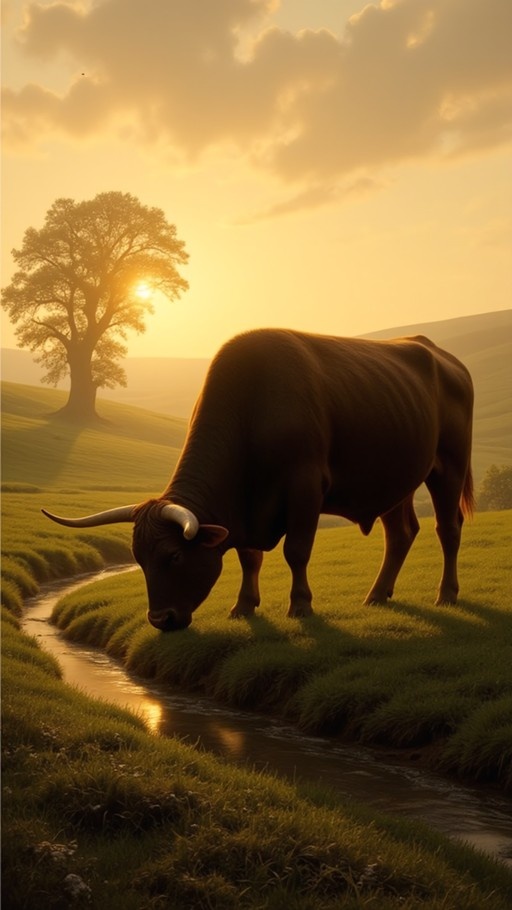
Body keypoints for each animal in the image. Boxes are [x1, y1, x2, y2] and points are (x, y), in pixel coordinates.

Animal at [42, 328, 474, 632]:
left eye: (175, 555)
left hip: (449, 466)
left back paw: (447, 594)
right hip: (394, 480)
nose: (160, 620)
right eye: (139, 559)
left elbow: (296, 551)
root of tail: (440, 355)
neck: (253, 407)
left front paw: (300, 605)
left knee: (449, 529)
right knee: (400, 533)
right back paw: (377, 595)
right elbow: (249, 556)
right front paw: (244, 605)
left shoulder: (305, 488)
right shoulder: (245, 511)